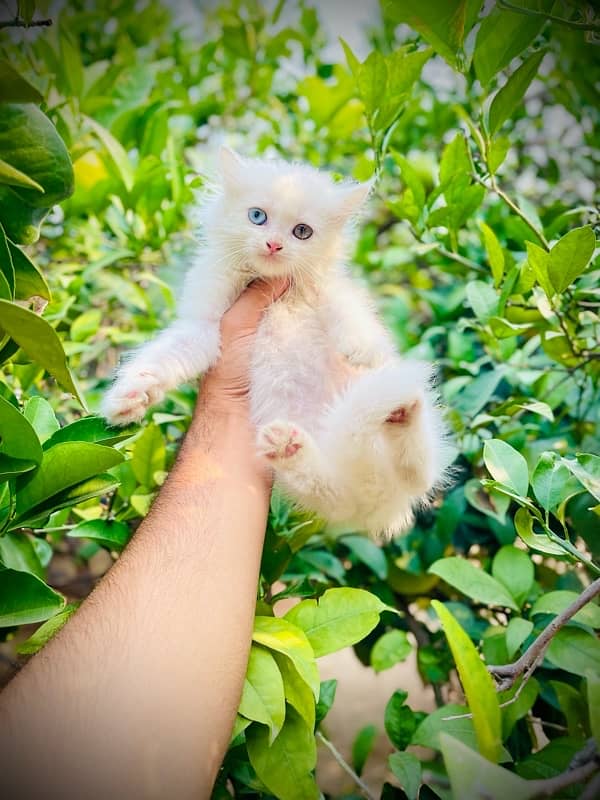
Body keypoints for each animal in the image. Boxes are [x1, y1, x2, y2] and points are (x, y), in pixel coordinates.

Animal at [103, 148, 448, 536]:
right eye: (258, 217)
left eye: (302, 232)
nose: (273, 244)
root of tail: (382, 502)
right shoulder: (205, 327)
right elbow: (167, 356)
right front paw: (131, 395)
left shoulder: (328, 288)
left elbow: (346, 309)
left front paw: (364, 348)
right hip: (333, 485)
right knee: (335, 488)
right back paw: (292, 449)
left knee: (418, 472)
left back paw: (401, 414)